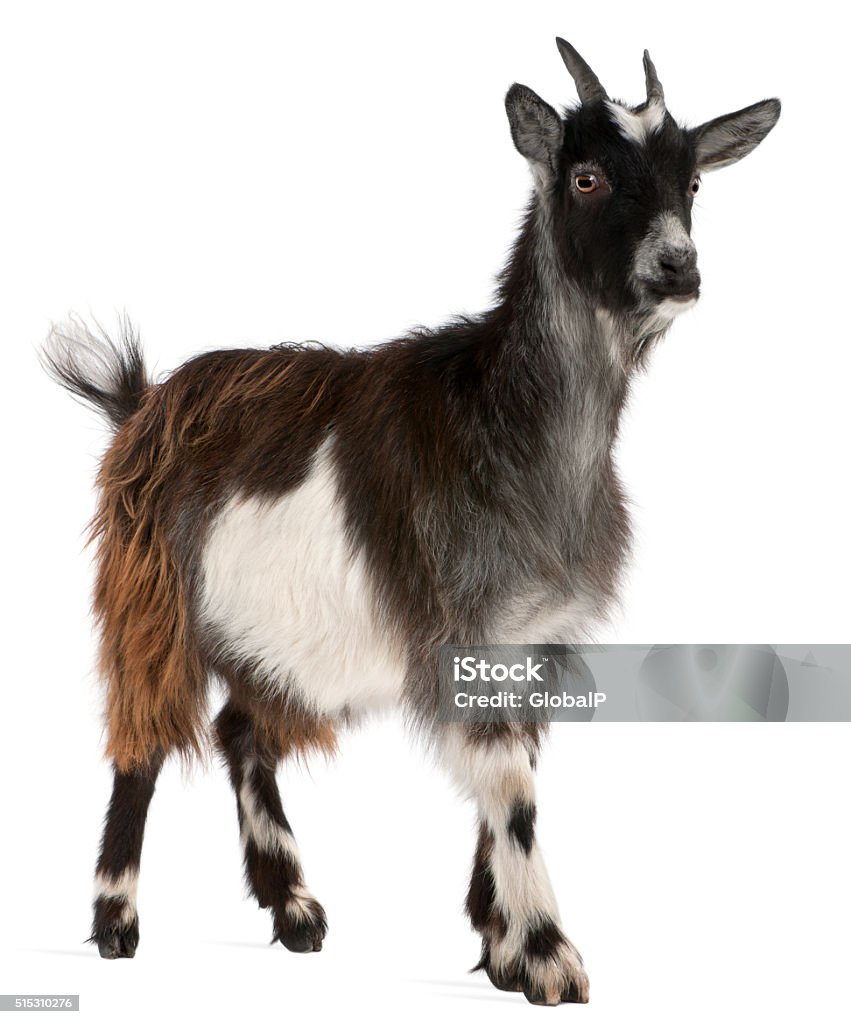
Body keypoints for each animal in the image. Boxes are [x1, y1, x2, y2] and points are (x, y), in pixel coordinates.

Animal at [43, 36, 782, 1003]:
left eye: (690, 181)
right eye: (584, 176)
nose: (677, 269)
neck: (508, 421)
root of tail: (142, 402)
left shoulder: (532, 640)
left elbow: (508, 779)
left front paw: (501, 949)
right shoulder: (458, 614)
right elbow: (511, 789)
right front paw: (550, 959)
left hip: (276, 635)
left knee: (241, 732)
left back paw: (294, 907)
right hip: (151, 593)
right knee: (143, 740)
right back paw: (118, 921)